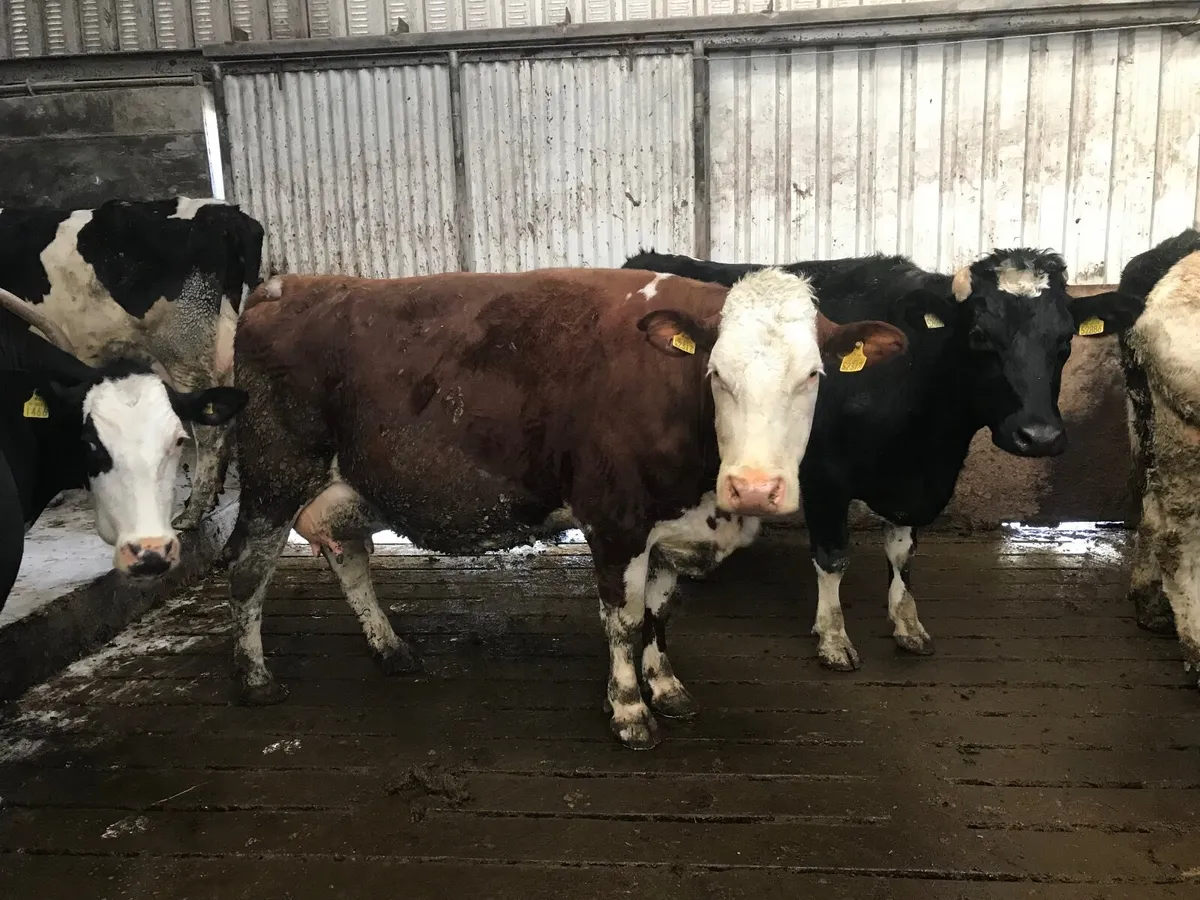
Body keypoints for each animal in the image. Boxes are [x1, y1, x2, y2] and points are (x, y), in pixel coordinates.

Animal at [223, 268, 908, 749]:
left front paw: (667, 687)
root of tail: (287, 285)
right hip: (273, 477)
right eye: (716, 374)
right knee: (247, 571)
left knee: (349, 559)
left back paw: (391, 650)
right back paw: (255, 679)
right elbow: (624, 620)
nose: (755, 487)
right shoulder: (614, 519)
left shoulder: (666, 527)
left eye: (813, 375)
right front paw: (629, 711)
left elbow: (659, 613)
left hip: (344, 488)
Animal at [622, 248, 1143, 671]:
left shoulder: (915, 483)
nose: (1039, 435)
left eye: (1065, 340)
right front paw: (833, 637)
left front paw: (907, 624)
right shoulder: (824, 478)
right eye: (979, 334)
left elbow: (902, 553)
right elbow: (833, 558)